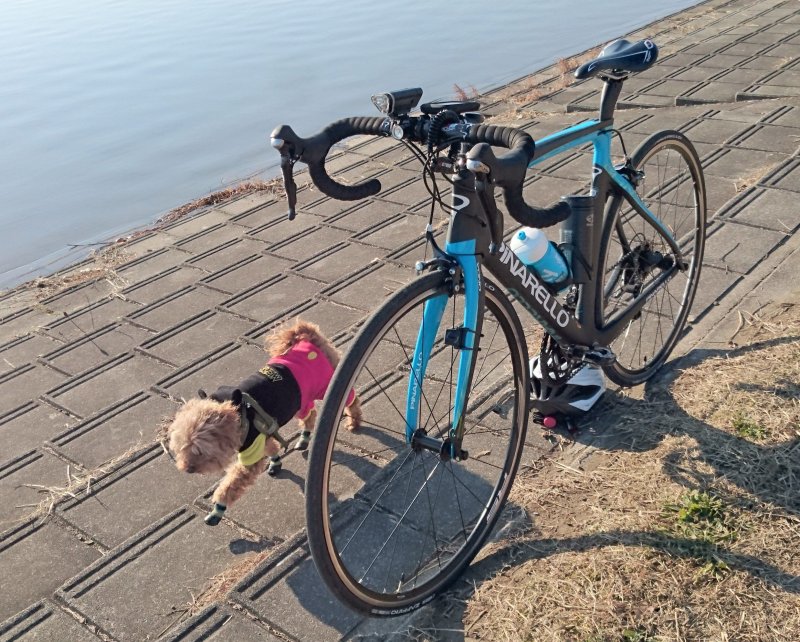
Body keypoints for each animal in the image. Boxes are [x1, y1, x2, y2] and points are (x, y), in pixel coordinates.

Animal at [167, 318, 360, 524]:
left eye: (199, 450)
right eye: (180, 448)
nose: (186, 468)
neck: (239, 410)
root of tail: (308, 337)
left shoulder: (251, 452)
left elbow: (231, 485)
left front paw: (218, 509)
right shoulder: (262, 437)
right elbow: (271, 449)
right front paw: (275, 463)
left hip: (326, 385)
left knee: (351, 398)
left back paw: (354, 421)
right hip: (298, 400)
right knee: (310, 414)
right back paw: (304, 438)